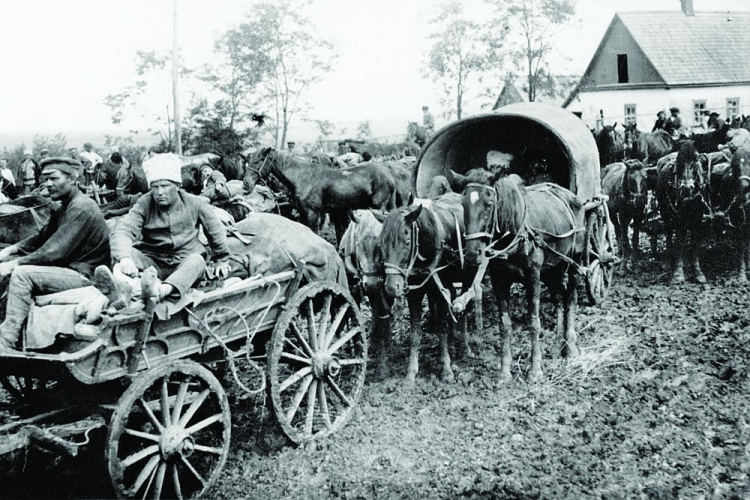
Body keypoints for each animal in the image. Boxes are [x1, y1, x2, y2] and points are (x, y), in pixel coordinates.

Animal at [244, 146, 402, 244]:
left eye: (258, 160)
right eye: (248, 161)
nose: (246, 184)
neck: (303, 177)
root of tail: (388, 172)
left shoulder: (313, 213)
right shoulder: (303, 213)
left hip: (378, 208)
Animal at [382, 192, 470, 382]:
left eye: (407, 240)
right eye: (382, 242)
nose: (392, 287)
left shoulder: (440, 290)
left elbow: (441, 329)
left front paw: (446, 370)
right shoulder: (414, 293)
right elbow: (415, 334)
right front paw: (411, 372)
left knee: (466, 306)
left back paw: (465, 348)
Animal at [464, 174, 588, 380]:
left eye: (489, 204)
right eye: (463, 204)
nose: (472, 254)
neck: (515, 234)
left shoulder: (533, 277)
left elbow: (533, 322)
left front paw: (535, 370)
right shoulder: (499, 280)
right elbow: (504, 324)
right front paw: (504, 371)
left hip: (573, 263)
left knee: (570, 299)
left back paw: (570, 349)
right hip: (552, 269)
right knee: (558, 301)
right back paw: (557, 348)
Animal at [656, 141, 712, 284]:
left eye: (696, 160)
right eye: (679, 162)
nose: (686, 188)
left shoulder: (699, 219)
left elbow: (695, 245)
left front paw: (698, 272)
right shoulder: (679, 219)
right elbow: (680, 243)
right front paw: (678, 273)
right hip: (664, 211)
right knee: (669, 232)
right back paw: (669, 260)